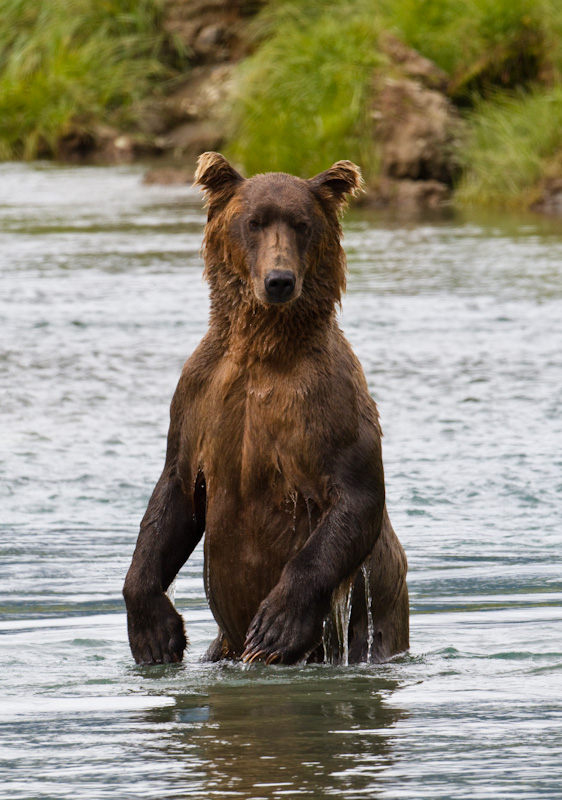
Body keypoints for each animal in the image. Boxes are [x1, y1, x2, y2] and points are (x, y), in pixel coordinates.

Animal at [122, 153, 406, 664]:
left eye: (302, 224)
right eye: (253, 222)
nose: (279, 280)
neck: (262, 349)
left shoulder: (329, 400)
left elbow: (356, 495)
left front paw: (275, 627)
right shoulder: (198, 398)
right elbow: (174, 496)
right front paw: (155, 632)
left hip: (374, 621)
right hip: (222, 647)